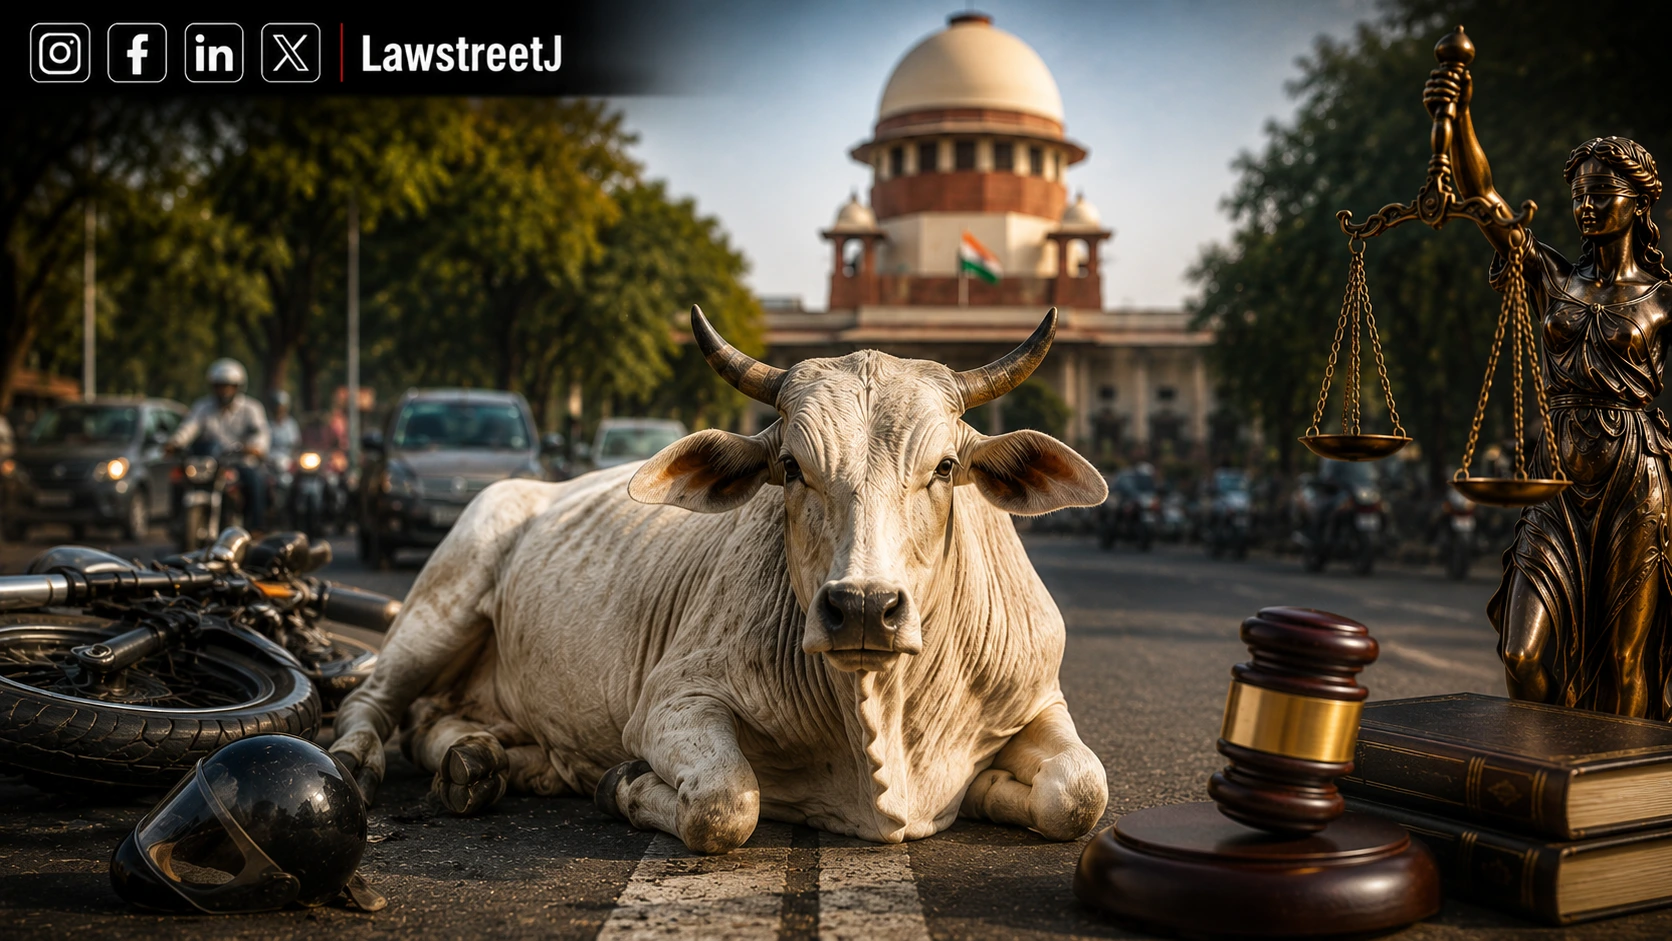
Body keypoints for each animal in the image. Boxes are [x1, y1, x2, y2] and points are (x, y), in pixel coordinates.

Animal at [329, 307, 1111, 854]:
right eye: (790, 466)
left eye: (945, 467)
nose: (863, 607)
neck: (879, 712)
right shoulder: (672, 701)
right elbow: (725, 805)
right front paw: (624, 784)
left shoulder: (1040, 698)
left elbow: (1079, 792)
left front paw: (989, 788)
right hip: (439, 604)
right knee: (373, 701)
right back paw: (355, 766)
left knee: (437, 723)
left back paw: (483, 764)